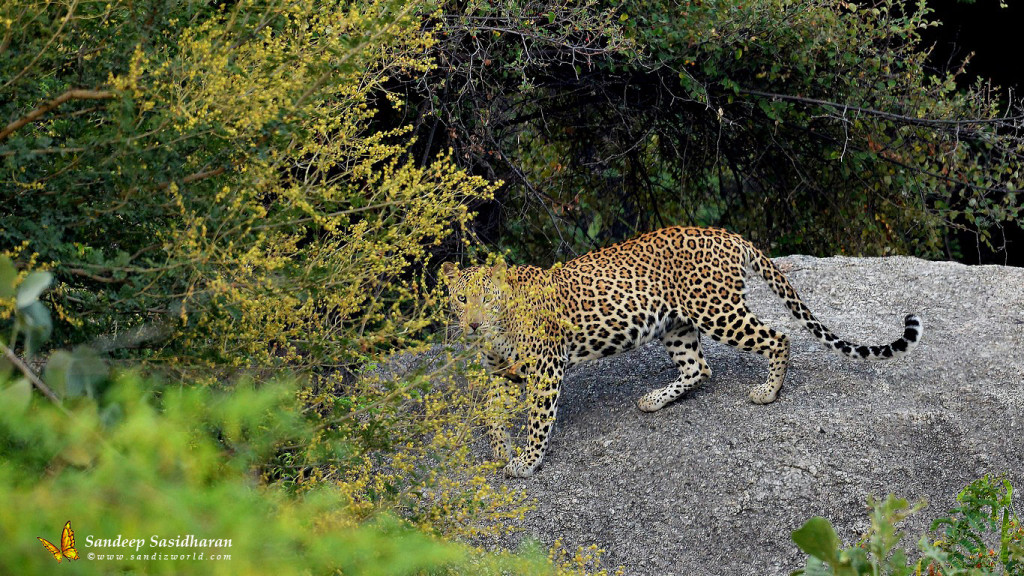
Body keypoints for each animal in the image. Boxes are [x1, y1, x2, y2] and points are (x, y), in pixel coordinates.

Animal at [444, 224, 925, 475]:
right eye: (460, 299)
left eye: (487, 299)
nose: (472, 323)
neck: (495, 332)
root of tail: (729, 234)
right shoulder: (501, 372)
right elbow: (489, 411)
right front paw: (500, 450)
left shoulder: (545, 367)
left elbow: (539, 419)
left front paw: (526, 461)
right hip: (676, 325)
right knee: (700, 368)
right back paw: (655, 401)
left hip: (718, 311)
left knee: (778, 337)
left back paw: (768, 392)